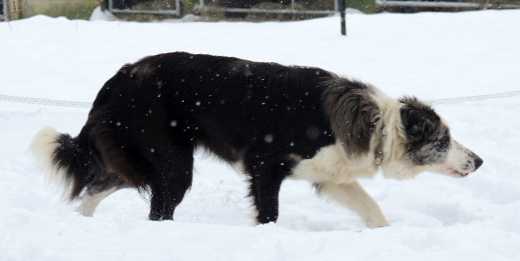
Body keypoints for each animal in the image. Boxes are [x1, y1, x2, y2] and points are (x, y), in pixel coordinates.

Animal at [31, 51, 484, 226]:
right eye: (443, 140)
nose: (478, 161)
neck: (379, 124)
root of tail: (119, 78)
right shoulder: (265, 167)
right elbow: (270, 213)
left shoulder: (331, 176)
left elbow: (371, 208)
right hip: (172, 163)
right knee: (158, 209)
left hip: (142, 159)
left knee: (99, 185)